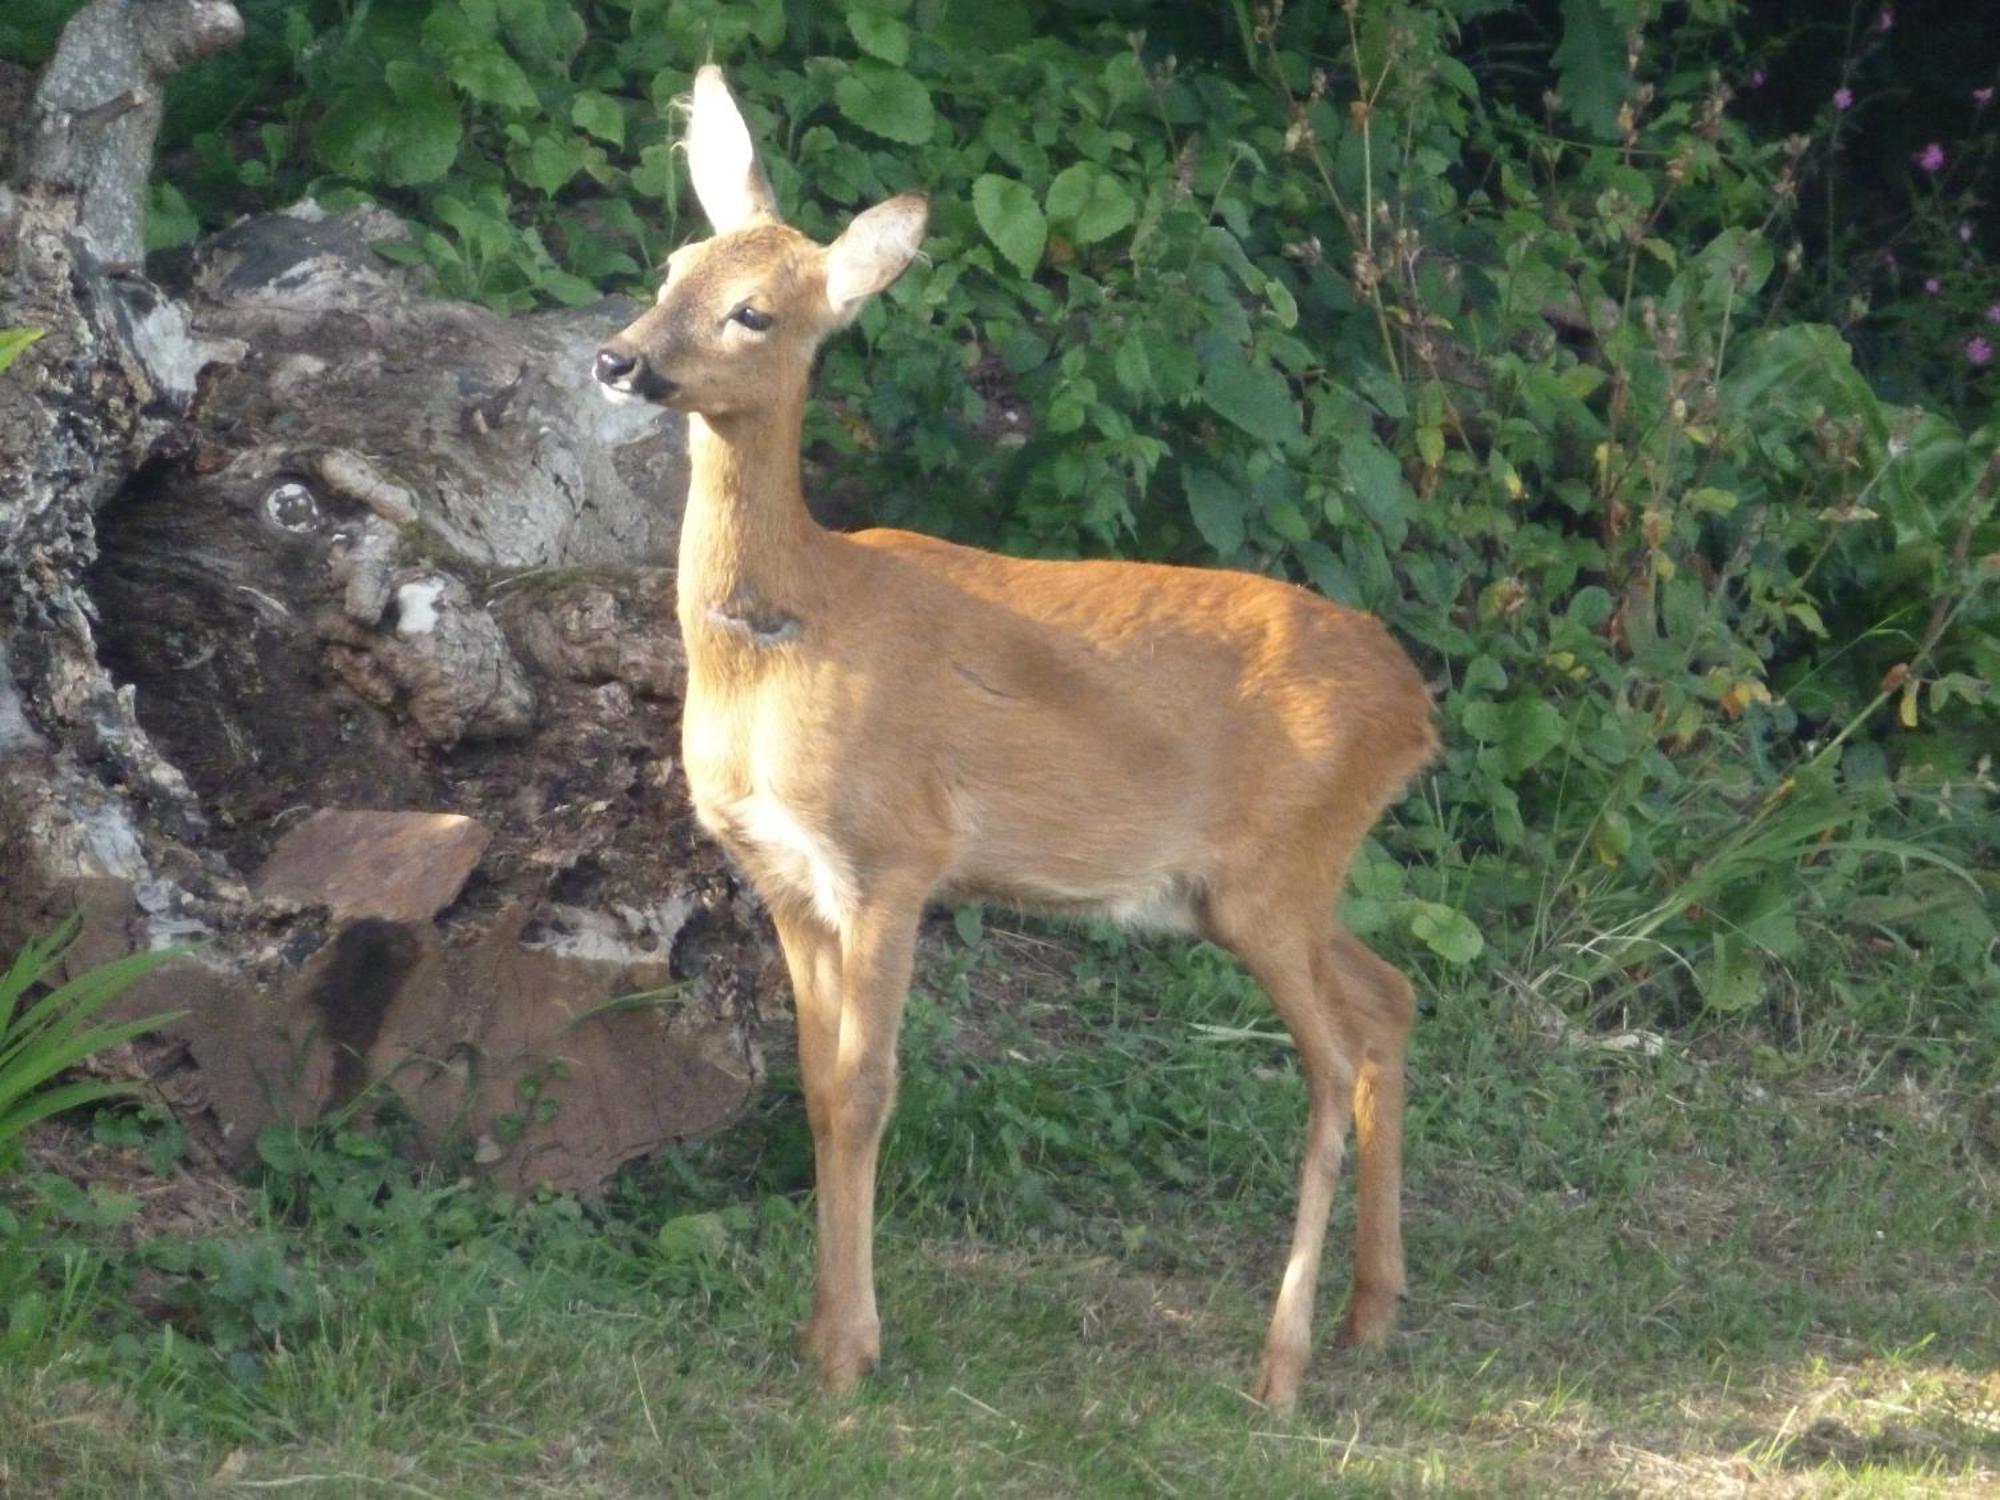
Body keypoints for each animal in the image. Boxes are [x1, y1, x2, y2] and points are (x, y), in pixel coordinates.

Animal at [592, 64, 1440, 1416]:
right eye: (674, 262)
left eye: (754, 314)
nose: (617, 359)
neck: (784, 639)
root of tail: (1415, 707)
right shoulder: (783, 875)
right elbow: (816, 1092)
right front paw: (821, 1331)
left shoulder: (893, 856)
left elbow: (868, 1092)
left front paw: (847, 1355)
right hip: (1266, 886)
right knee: (1390, 1000)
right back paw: (1369, 1312)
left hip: (1270, 876)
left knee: (1330, 1058)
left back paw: (1281, 1362)